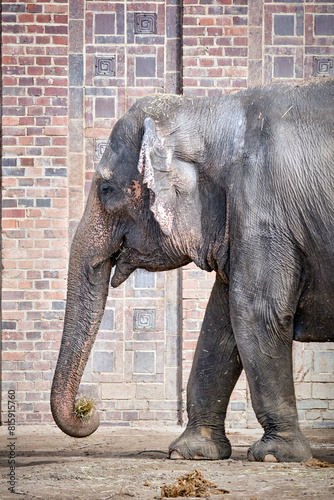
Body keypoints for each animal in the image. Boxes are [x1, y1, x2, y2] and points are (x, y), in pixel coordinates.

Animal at [51, 76, 334, 462]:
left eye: (106, 189)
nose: (88, 409)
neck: (208, 110)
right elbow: (220, 320)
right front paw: (191, 453)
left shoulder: (265, 211)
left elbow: (255, 312)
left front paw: (275, 455)